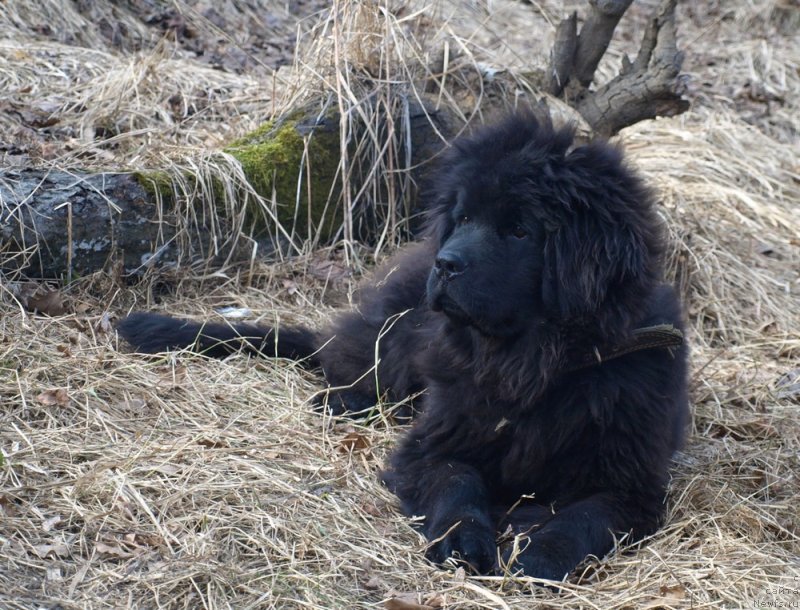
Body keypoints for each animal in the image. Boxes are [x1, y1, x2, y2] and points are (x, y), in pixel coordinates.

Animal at [117, 113, 688, 580]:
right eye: (463, 217)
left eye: (520, 230)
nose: (447, 263)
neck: (529, 363)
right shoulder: (435, 440)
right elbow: (458, 483)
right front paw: (463, 541)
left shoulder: (630, 482)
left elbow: (583, 517)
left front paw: (541, 557)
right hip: (397, 335)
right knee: (351, 363)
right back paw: (344, 401)